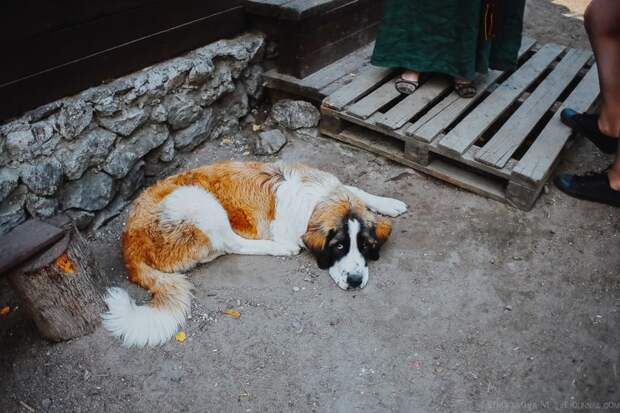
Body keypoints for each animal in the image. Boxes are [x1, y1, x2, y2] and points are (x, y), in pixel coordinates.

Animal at [103, 159, 406, 346]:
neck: (319, 200)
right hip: (197, 199)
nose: (355, 281)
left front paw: (387, 203)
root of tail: (128, 244)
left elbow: (355, 188)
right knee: (231, 244)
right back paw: (280, 248)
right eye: (339, 246)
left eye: (365, 245)